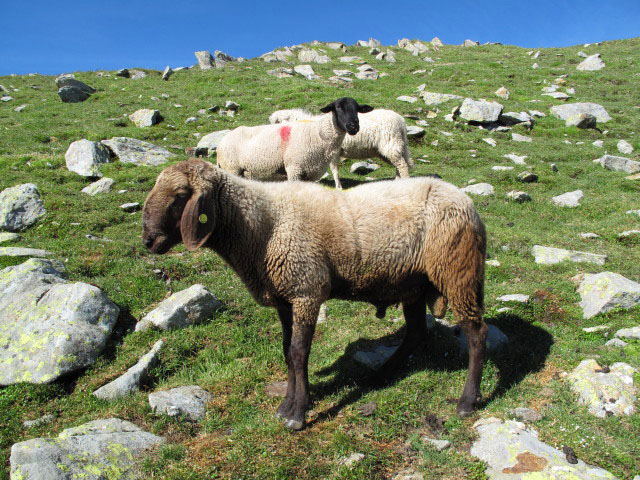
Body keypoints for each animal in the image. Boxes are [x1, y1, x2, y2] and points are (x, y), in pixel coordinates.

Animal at [142, 158, 488, 432]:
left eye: (180, 197)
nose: (148, 240)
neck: (262, 225)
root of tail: (467, 202)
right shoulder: (285, 298)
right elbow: (286, 351)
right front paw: (287, 405)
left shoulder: (306, 291)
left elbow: (298, 353)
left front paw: (297, 414)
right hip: (414, 284)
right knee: (415, 333)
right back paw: (382, 375)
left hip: (458, 272)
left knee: (476, 333)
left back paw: (467, 401)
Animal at [218, 96, 372, 188]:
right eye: (338, 107)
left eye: (357, 109)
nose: (353, 126)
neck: (317, 134)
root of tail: (221, 144)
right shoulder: (294, 169)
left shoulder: (309, 174)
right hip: (232, 168)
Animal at [268, 107, 412, 180]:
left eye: (279, 121)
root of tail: (401, 121)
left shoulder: (333, 152)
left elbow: (334, 170)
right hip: (392, 147)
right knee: (401, 164)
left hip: (391, 143)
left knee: (403, 166)